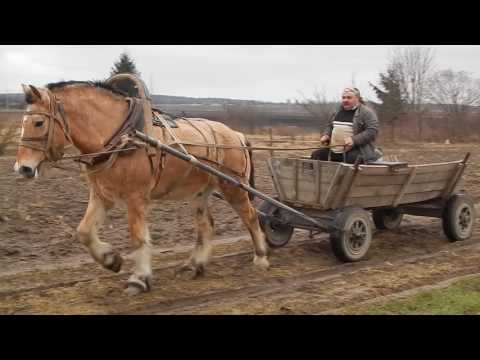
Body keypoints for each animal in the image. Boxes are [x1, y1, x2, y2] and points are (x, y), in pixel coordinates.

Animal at [14, 81, 270, 296]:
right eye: (22, 123)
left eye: (39, 122)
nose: (23, 168)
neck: (121, 136)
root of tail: (235, 134)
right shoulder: (101, 195)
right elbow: (84, 231)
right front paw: (110, 259)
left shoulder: (136, 198)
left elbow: (138, 237)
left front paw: (139, 278)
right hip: (200, 192)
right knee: (206, 226)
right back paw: (193, 265)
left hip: (233, 187)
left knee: (250, 216)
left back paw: (261, 257)